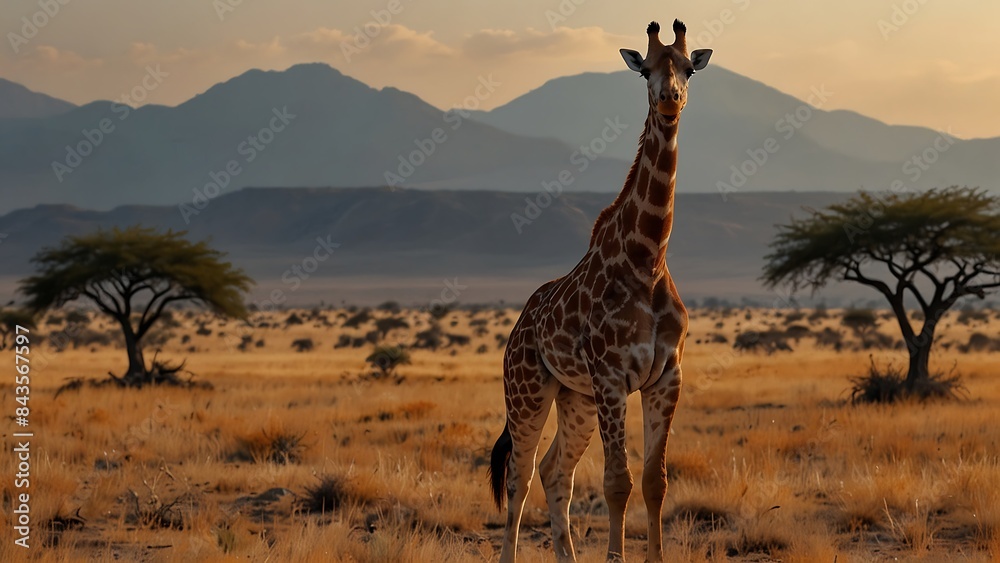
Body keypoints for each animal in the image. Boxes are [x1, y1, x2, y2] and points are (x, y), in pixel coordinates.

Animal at [488, 19, 712, 563]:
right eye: (646, 70)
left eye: (689, 68)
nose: (670, 99)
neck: (647, 260)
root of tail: (520, 323)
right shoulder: (612, 376)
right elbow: (617, 482)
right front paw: (617, 557)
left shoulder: (665, 377)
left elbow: (655, 482)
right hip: (527, 388)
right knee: (521, 475)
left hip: (576, 398)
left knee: (555, 472)